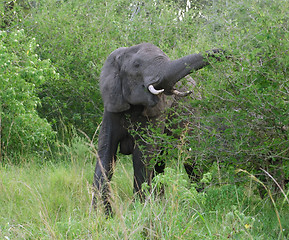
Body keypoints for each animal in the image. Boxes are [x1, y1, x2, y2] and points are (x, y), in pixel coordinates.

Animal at [92, 43, 223, 214]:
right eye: (136, 65)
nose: (223, 51)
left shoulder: (158, 111)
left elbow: (142, 155)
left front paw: (138, 209)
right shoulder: (112, 105)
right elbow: (106, 152)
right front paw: (100, 214)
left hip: (194, 115)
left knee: (190, 159)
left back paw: (199, 200)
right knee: (161, 162)